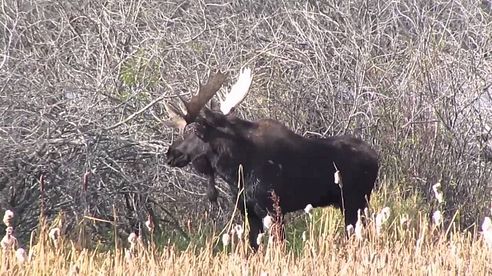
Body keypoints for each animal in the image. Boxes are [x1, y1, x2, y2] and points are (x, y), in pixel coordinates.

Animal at [165, 68, 380, 249]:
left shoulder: (274, 209)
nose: (171, 153)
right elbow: (253, 247)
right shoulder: (249, 211)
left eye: (196, 131)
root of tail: (376, 159)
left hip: (355, 200)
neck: (236, 170)